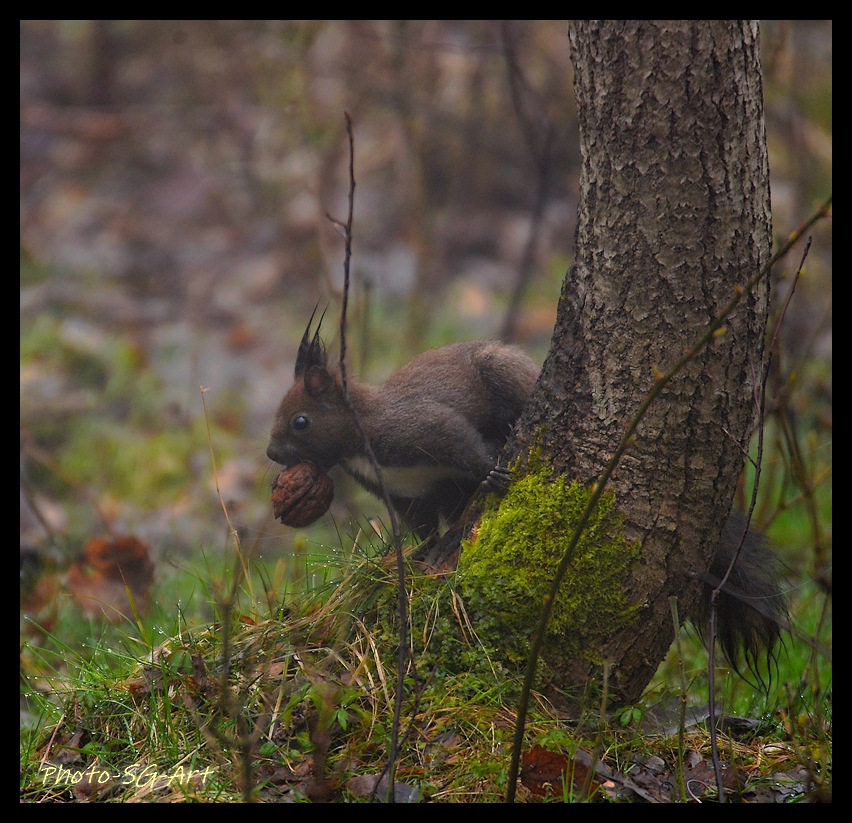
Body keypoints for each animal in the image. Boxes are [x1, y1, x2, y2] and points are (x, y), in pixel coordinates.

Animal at [267, 309, 788, 677]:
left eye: (301, 421)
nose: (272, 453)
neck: (358, 440)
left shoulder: (421, 427)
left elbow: (463, 445)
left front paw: (493, 474)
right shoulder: (410, 495)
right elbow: (421, 526)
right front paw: (414, 557)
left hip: (502, 371)